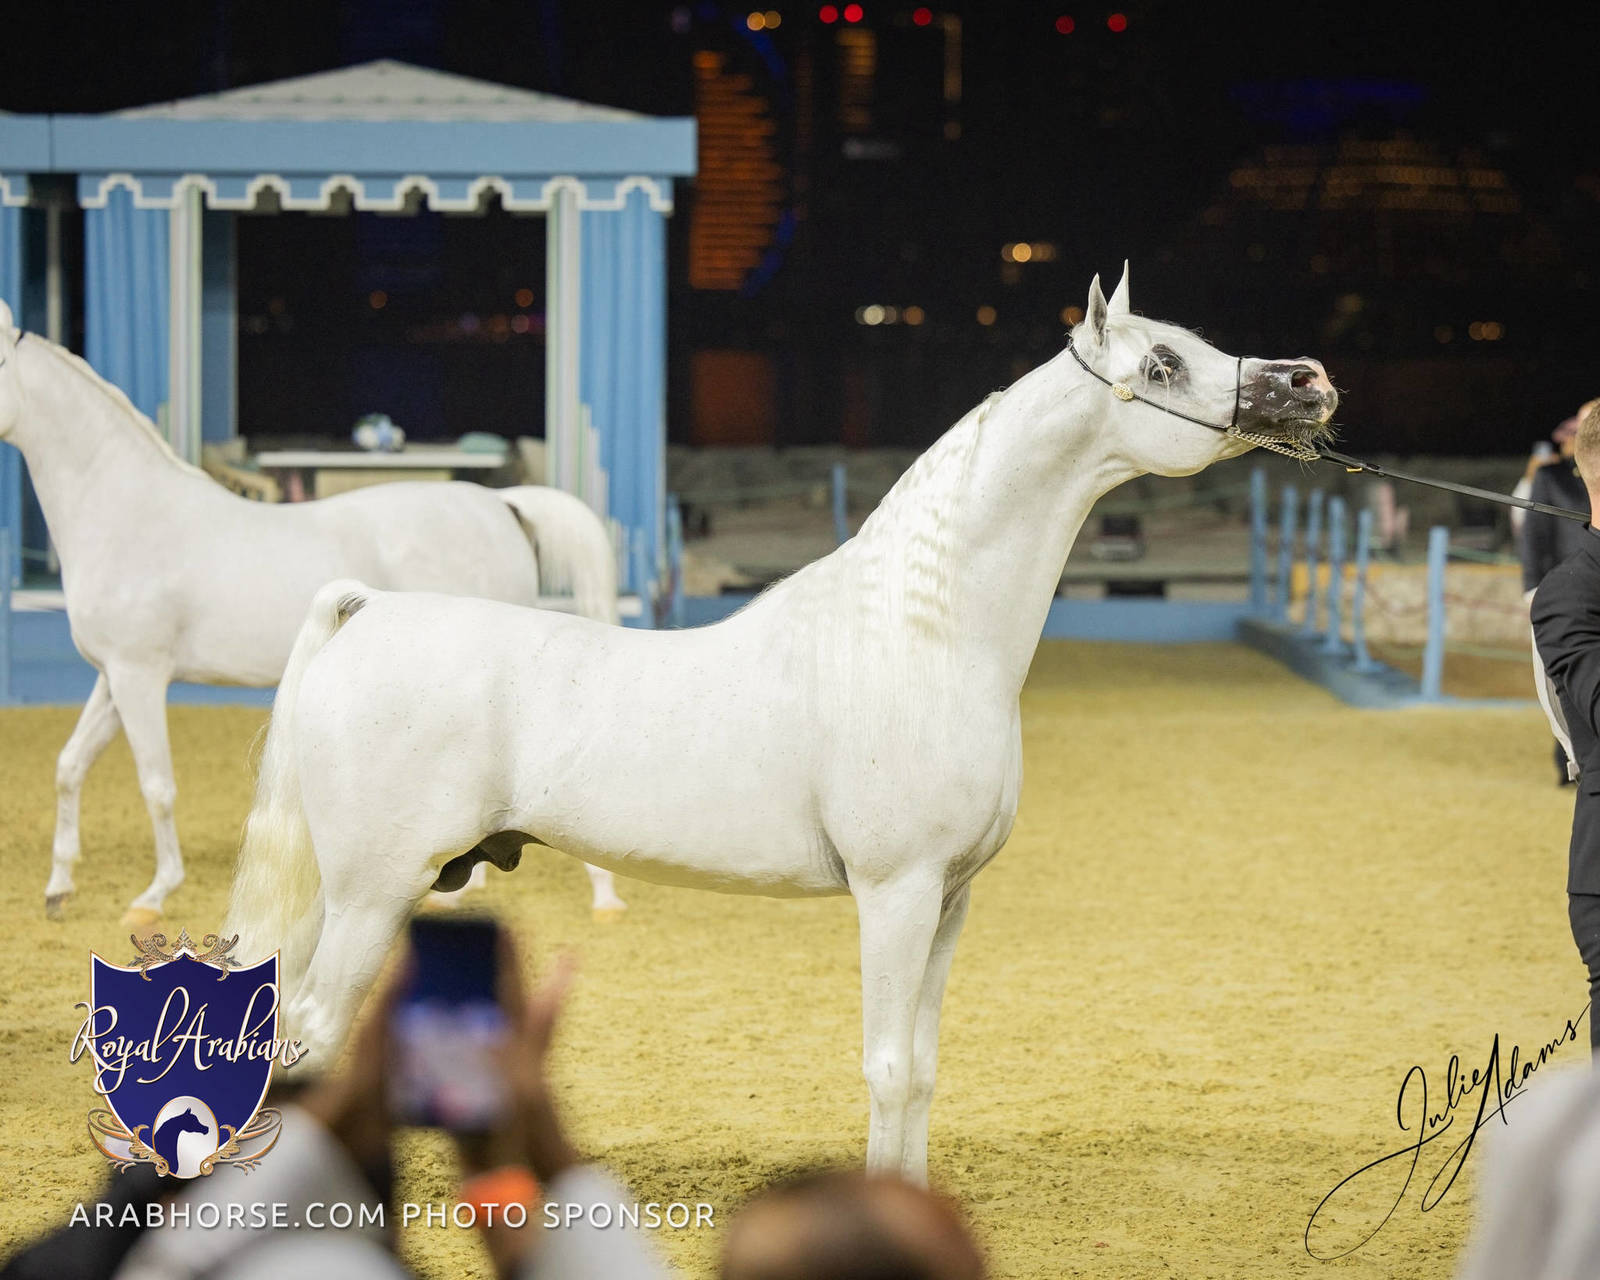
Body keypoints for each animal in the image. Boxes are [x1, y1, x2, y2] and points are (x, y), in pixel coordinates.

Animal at [0, 301, 626, 925]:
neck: (131, 516)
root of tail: (502, 504)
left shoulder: (140, 675)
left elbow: (156, 785)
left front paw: (153, 897)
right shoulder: (113, 677)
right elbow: (70, 766)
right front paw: (58, 888)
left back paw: (596, 897)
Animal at [224, 265, 1337, 1182]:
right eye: (1162, 361)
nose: (1308, 381)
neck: (919, 636)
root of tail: (367, 609)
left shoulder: (950, 901)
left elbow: (922, 1067)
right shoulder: (895, 894)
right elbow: (886, 1066)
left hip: (354, 890)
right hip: (376, 890)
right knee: (314, 1031)